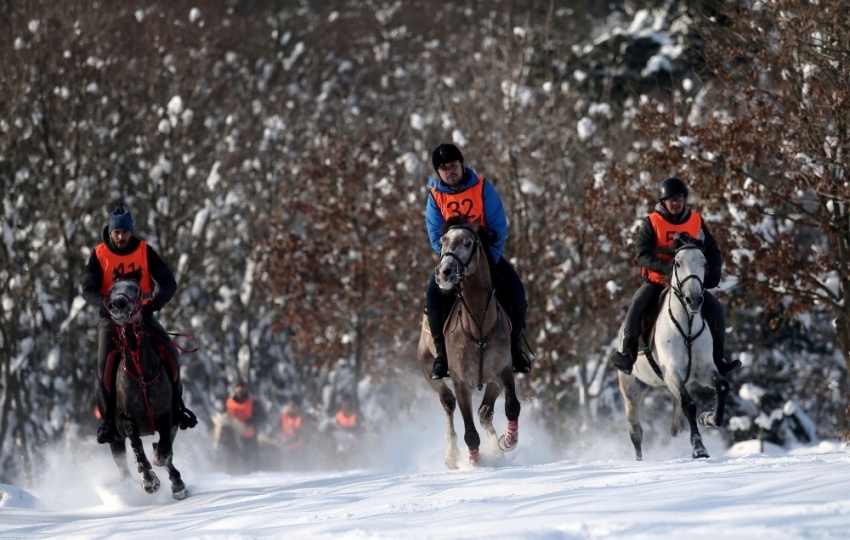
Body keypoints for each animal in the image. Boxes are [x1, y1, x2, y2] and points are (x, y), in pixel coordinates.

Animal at [105, 280, 186, 500]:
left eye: (135, 288)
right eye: (111, 290)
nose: (118, 305)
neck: (140, 375)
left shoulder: (168, 416)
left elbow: (165, 448)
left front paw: (172, 478)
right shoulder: (122, 420)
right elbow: (136, 443)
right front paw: (149, 481)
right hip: (115, 441)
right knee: (122, 463)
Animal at [416, 217, 520, 466]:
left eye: (468, 242)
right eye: (442, 241)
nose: (444, 272)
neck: (478, 324)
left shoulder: (503, 372)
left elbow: (512, 406)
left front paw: (508, 441)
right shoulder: (462, 384)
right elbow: (470, 432)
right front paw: (474, 463)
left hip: (492, 382)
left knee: (484, 413)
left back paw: (497, 450)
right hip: (428, 372)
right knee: (448, 403)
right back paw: (452, 456)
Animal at [616, 236, 728, 460]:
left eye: (705, 263)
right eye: (677, 263)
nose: (694, 300)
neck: (687, 326)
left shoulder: (703, 372)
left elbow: (721, 386)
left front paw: (708, 418)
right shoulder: (672, 373)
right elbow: (690, 405)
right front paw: (699, 449)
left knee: (676, 426)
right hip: (631, 389)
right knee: (636, 431)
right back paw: (639, 460)